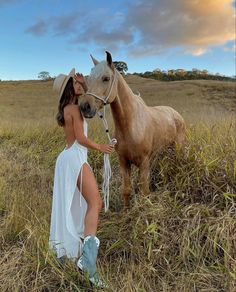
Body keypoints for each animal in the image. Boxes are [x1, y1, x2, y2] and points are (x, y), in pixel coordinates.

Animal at [79, 51, 186, 205]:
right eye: (89, 78)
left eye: (106, 78)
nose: (85, 107)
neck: (130, 126)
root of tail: (177, 114)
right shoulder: (124, 162)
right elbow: (126, 191)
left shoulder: (144, 163)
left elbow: (144, 193)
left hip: (178, 148)